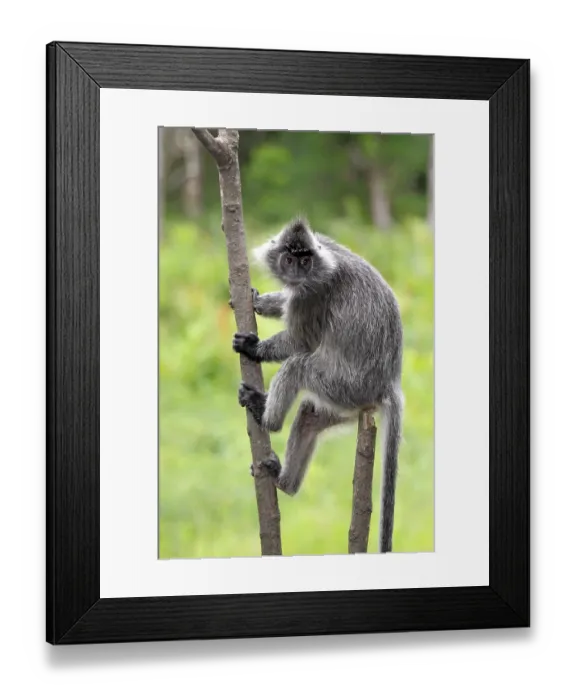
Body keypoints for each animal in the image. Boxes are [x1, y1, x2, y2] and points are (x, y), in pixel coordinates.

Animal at [229, 216, 404, 553]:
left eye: (305, 261)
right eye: (289, 259)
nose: (297, 273)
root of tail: (387, 383)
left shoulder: (313, 293)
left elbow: (303, 341)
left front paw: (254, 348)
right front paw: (258, 301)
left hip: (343, 384)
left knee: (298, 365)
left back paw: (265, 417)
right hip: (347, 404)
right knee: (309, 415)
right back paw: (284, 483)